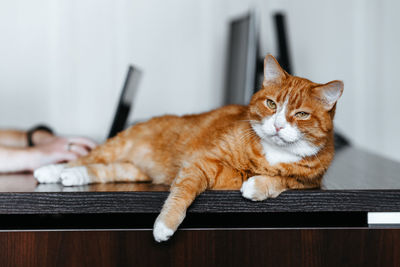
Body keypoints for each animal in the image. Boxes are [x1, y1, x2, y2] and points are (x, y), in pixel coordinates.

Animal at [33, 54, 344, 243]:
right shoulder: (200, 163)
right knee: (85, 157)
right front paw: (164, 225)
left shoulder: (309, 181)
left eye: (301, 114)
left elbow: (283, 181)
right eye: (271, 104)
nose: (278, 125)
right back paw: (51, 171)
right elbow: (181, 195)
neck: (271, 153)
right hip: (118, 146)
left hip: (134, 171)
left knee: (103, 170)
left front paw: (256, 186)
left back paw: (74, 177)